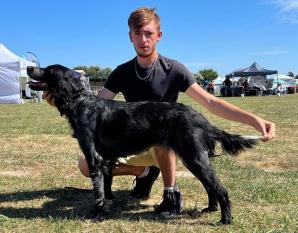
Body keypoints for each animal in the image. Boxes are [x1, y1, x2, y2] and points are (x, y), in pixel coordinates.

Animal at [26, 64, 258, 225]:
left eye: (48, 70)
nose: (29, 68)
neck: (81, 103)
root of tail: (201, 117)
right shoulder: (106, 160)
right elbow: (106, 188)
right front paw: (107, 207)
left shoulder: (94, 158)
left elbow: (98, 192)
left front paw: (96, 214)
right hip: (193, 157)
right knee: (211, 186)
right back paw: (210, 209)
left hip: (193, 157)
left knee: (220, 189)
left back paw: (225, 219)